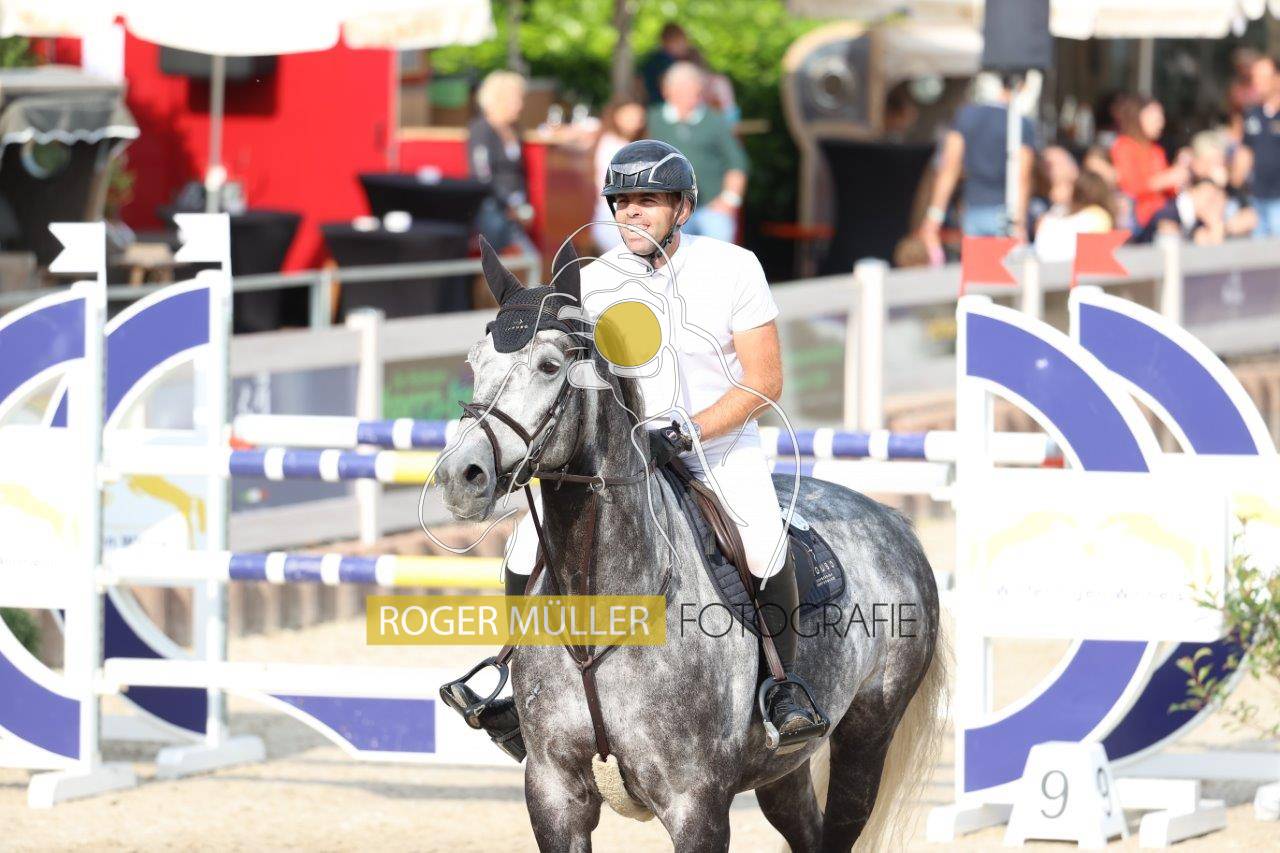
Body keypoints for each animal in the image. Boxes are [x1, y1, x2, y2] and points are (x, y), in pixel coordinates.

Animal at [435, 242, 947, 852]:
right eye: (473, 361)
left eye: (550, 366)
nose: (461, 476)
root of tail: (892, 520)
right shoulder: (554, 792)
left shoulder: (695, 803)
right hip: (783, 768)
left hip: (867, 737)